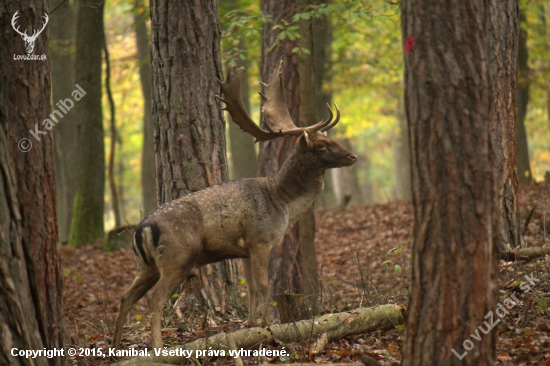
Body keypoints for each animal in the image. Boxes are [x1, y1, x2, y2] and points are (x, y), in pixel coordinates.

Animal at [112, 59, 358, 348]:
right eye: (321, 145)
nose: (352, 156)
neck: (281, 202)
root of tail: (141, 229)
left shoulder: (245, 249)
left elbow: (250, 287)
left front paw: (251, 323)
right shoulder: (260, 240)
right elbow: (264, 285)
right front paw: (269, 327)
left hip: (146, 265)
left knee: (125, 297)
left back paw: (115, 346)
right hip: (178, 257)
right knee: (154, 299)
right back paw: (158, 347)